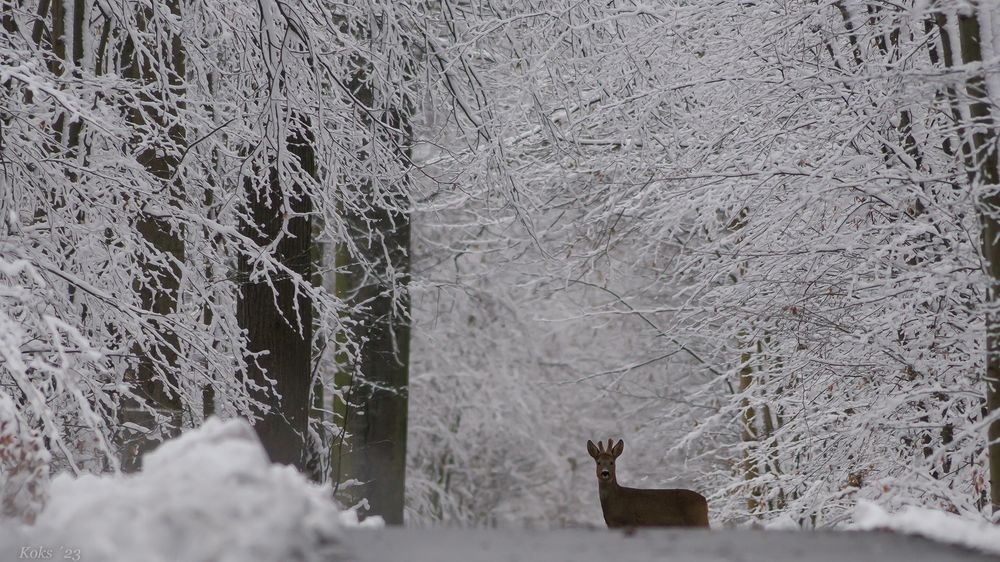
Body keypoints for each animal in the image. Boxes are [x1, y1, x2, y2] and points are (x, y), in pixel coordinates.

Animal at [584, 438, 712, 524]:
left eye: (612, 462)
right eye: (598, 462)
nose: (605, 473)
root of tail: (704, 501)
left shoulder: (630, 522)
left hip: (698, 520)